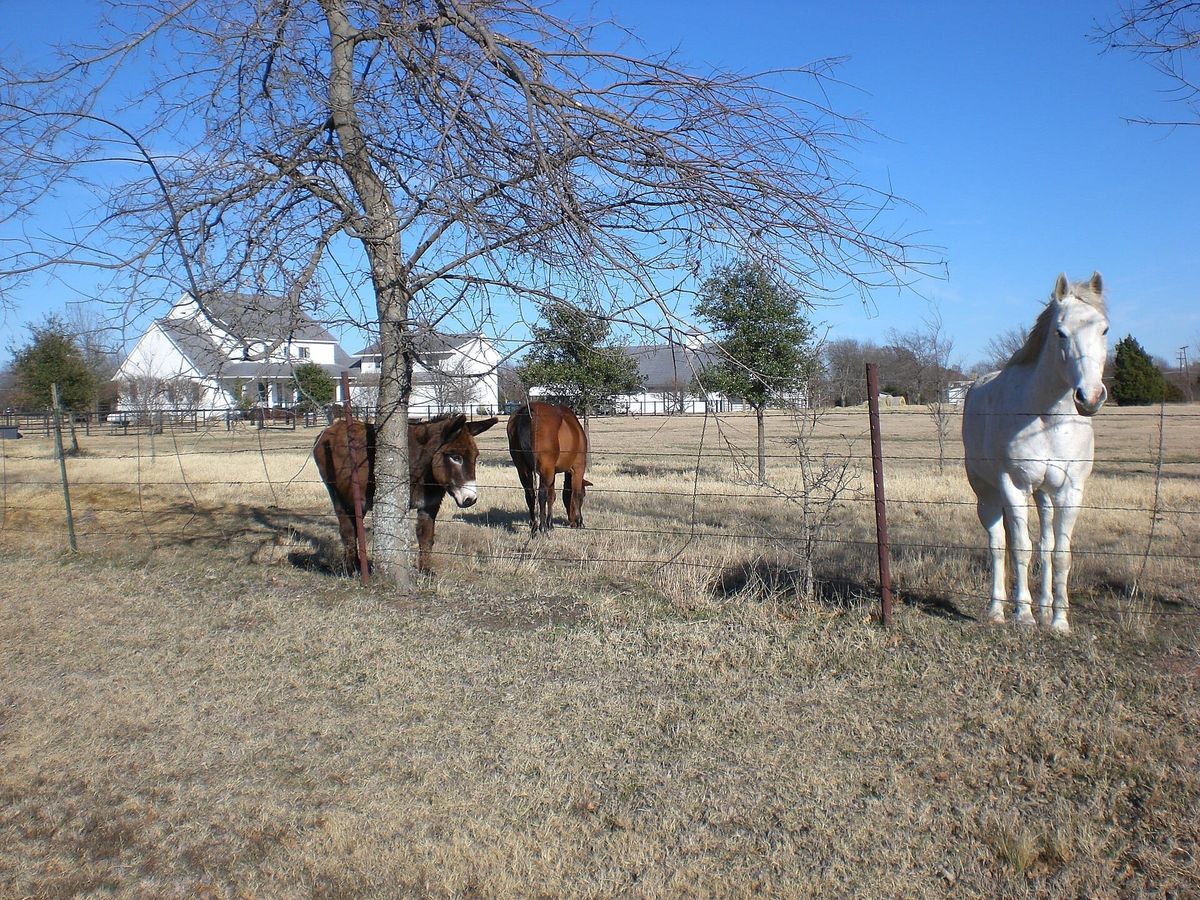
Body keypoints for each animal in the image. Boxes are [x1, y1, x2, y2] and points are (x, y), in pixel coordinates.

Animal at [313, 413, 499, 573]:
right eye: (455, 457)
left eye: (475, 457)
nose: (470, 499)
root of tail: (330, 428)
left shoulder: (429, 505)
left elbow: (426, 537)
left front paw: (426, 572)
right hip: (341, 495)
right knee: (348, 529)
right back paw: (352, 568)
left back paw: (355, 565)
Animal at [507, 402, 591, 532]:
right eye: (584, 495)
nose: (572, 522)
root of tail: (528, 411)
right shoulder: (578, 468)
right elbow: (575, 494)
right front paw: (579, 522)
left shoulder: (553, 472)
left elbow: (552, 496)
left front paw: (550, 524)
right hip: (545, 470)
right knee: (541, 494)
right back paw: (542, 528)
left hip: (523, 469)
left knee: (530, 494)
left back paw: (534, 526)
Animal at [962, 272, 1109, 633]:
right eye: (1061, 332)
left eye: (1104, 329)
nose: (1090, 397)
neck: (1047, 419)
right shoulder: (1014, 486)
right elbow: (1020, 549)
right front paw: (1023, 615)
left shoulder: (1070, 491)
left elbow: (1059, 553)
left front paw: (1058, 621)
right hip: (987, 494)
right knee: (997, 545)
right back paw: (997, 610)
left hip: (1044, 495)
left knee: (1045, 543)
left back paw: (1044, 609)